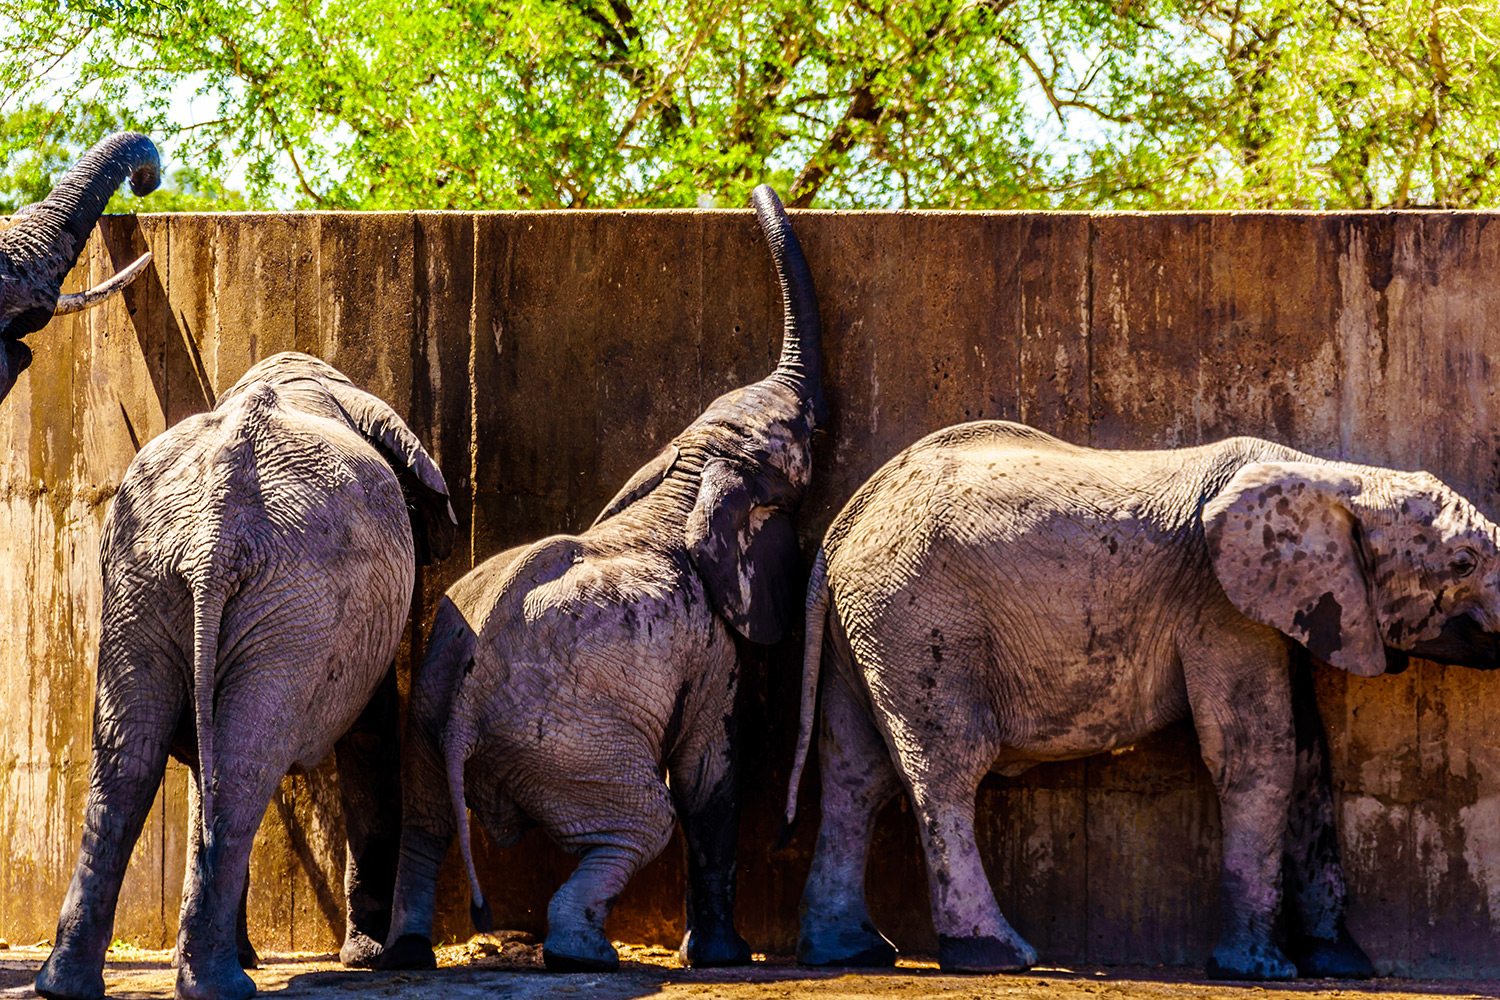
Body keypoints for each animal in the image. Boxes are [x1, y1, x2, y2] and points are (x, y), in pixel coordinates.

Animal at [36, 352, 456, 1000]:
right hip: (292, 596)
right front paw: (372, 959)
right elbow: (371, 736)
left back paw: (70, 985)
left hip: (146, 582)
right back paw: (224, 985)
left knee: (133, 761)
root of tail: (217, 523)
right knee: (239, 767)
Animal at [375, 183, 822, 971]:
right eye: (803, 433)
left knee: (424, 824)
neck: (687, 478)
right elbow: (707, 771)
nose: (755, 192)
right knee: (645, 819)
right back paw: (584, 955)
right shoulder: (709, 641)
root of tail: (463, 716)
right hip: (571, 743)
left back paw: (409, 956)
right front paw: (725, 958)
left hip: (429, 719)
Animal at [786, 419, 1500, 977]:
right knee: (946, 767)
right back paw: (994, 955)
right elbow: (1255, 756)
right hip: (919, 618)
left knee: (854, 775)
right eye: (1463, 564)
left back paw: (850, 953)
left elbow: (1305, 754)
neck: (1334, 476)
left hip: (869, 627)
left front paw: (1341, 965)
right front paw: (1259, 970)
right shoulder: (1219, 604)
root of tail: (841, 527)